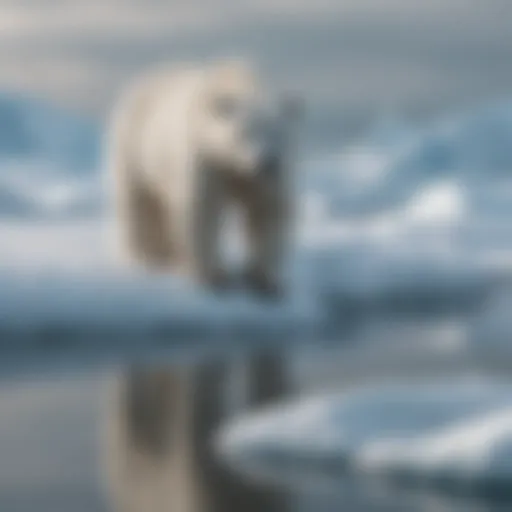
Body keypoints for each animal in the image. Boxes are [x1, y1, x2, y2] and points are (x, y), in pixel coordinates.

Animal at [106, 60, 302, 298]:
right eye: (245, 132)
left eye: (279, 133)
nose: (267, 163)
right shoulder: (205, 159)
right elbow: (202, 211)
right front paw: (213, 277)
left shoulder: (266, 180)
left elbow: (268, 212)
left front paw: (266, 281)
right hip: (135, 148)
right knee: (140, 203)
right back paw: (148, 257)